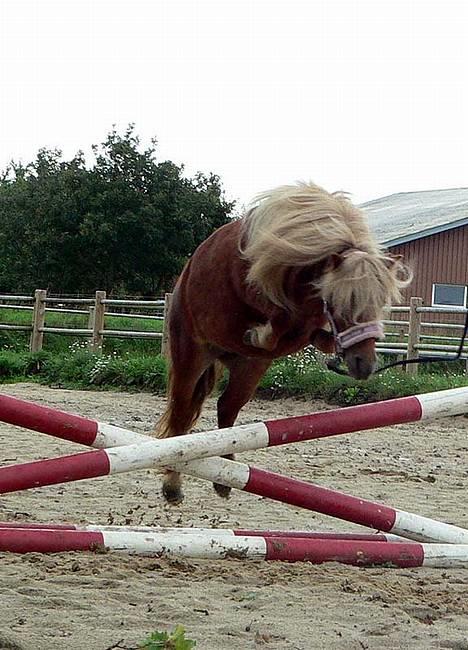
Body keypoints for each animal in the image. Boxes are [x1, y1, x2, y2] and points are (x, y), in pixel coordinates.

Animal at [154, 182, 410, 502]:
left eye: (379, 304)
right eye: (340, 304)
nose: (364, 364)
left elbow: (309, 335)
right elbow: (277, 325)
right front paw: (259, 333)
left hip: (249, 370)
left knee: (226, 408)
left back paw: (225, 477)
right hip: (192, 356)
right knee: (181, 413)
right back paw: (172, 483)